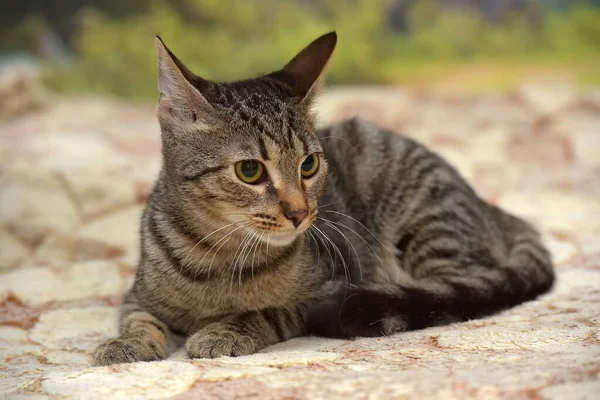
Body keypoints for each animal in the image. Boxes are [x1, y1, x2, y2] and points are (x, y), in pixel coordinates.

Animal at [91, 31, 556, 366]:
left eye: (310, 165)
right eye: (249, 171)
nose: (300, 213)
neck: (219, 258)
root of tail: (490, 208)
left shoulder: (321, 290)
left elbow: (266, 311)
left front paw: (226, 330)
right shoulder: (138, 294)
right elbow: (138, 318)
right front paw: (124, 343)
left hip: (429, 227)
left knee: (454, 291)